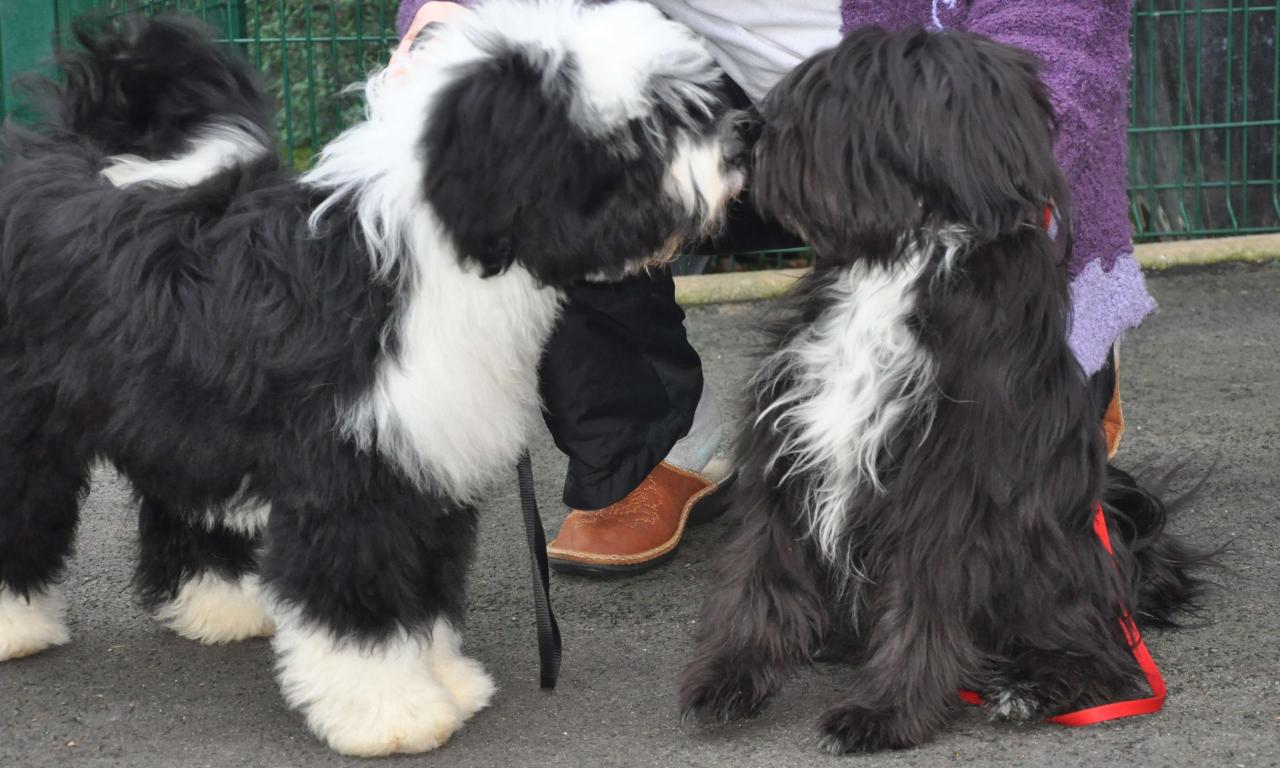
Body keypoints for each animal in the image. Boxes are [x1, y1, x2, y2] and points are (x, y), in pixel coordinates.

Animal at [0, 1, 747, 757]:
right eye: (644, 128)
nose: (742, 141)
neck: (422, 264)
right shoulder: (353, 479)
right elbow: (360, 606)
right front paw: (391, 713)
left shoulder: (424, 465)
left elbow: (425, 594)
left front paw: (445, 680)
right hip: (32, 419)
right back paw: (17, 627)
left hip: (178, 414)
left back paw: (220, 602)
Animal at [680, 27, 1208, 752]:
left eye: (830, 101)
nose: (747, 132)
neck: (899, 257)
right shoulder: (792, 445)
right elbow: (761, 571)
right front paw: (728, 678)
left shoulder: (946, 489)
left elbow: (922, 604)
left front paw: (885, 714)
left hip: (1060, 567)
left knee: (1099, 652)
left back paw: (1032, 686)